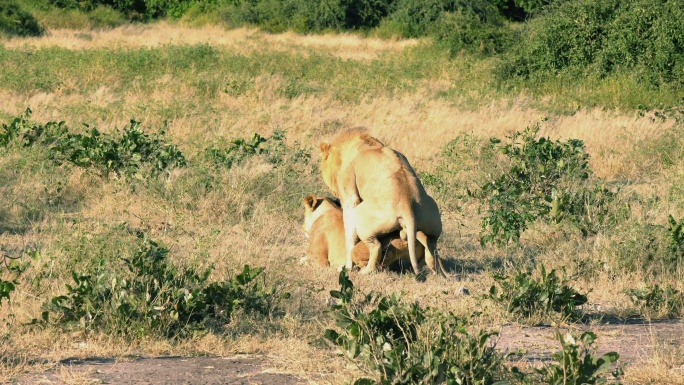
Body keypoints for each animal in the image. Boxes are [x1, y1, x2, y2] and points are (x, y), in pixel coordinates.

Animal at [320, 127, 444, 274]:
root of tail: (407, 204)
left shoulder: (350, 198)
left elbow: (349, 237)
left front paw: (347, 267)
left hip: (362, 216)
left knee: (376, 246)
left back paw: (365, 271)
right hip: (432, 221)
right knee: (432, 247)